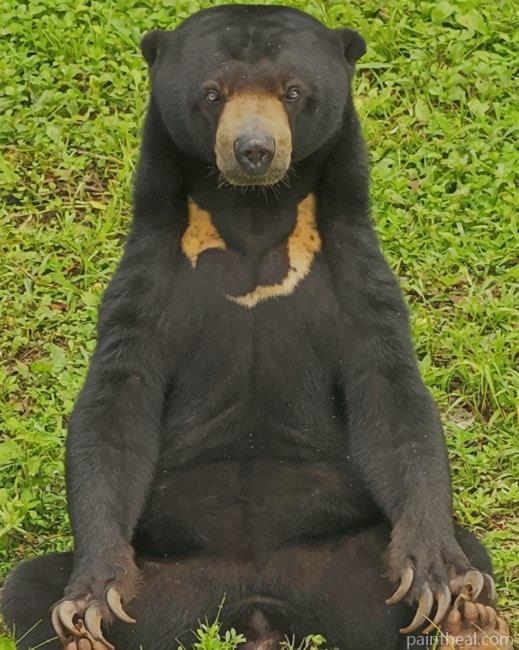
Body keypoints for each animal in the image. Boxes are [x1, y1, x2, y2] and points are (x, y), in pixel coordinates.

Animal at [1, 5, 512, 650]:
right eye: (212, 93)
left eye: (293, 92)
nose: (254, 151)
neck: (253, 214)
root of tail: (257, 606)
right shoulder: (150, 270)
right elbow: (116, 404)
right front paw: (93, 594)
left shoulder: (353, 265)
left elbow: (391, 395)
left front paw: (436, 574)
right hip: (170, 584)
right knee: (26, 586)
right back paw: (81, 634)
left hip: (343, 567)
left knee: (468, 555)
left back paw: (470, 617)